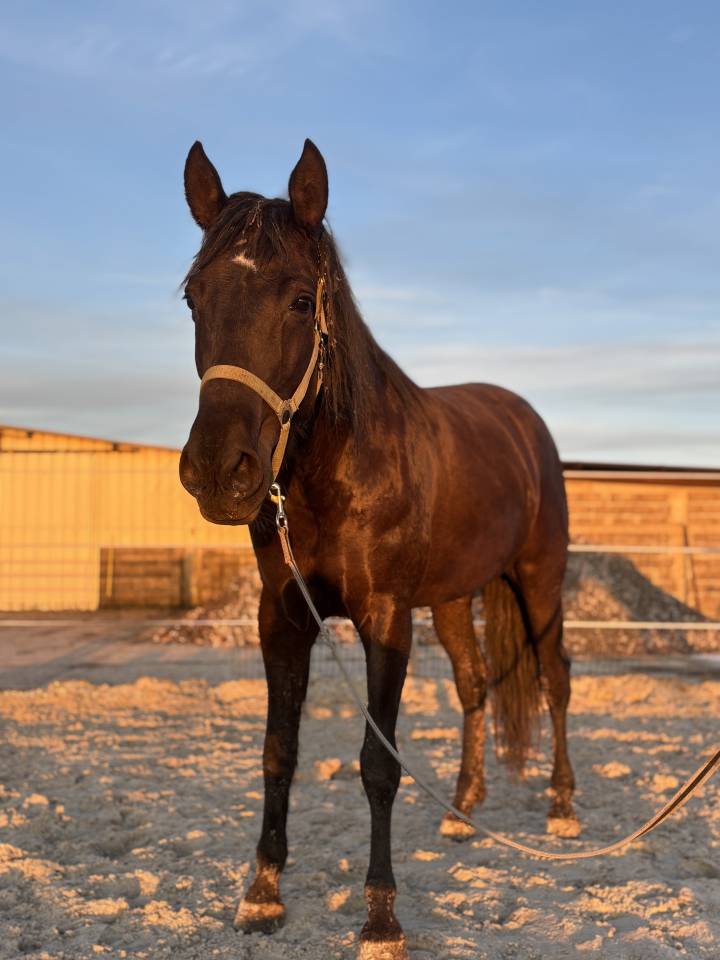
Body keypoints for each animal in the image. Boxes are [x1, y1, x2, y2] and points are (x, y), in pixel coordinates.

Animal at [179, 138, 576, 960]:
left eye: (302, 301)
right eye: (194, 298)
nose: (219, 472)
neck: (335, 471)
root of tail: (524, 421)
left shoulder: (385, 617)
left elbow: (377, 764)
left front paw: (382, 918)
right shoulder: (283, 618)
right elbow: (279, 750)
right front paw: (262, 893)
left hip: (539, 582)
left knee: (555, 680)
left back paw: (561, 807)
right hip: (455, 598)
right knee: (474, 686)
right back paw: (461, 812)